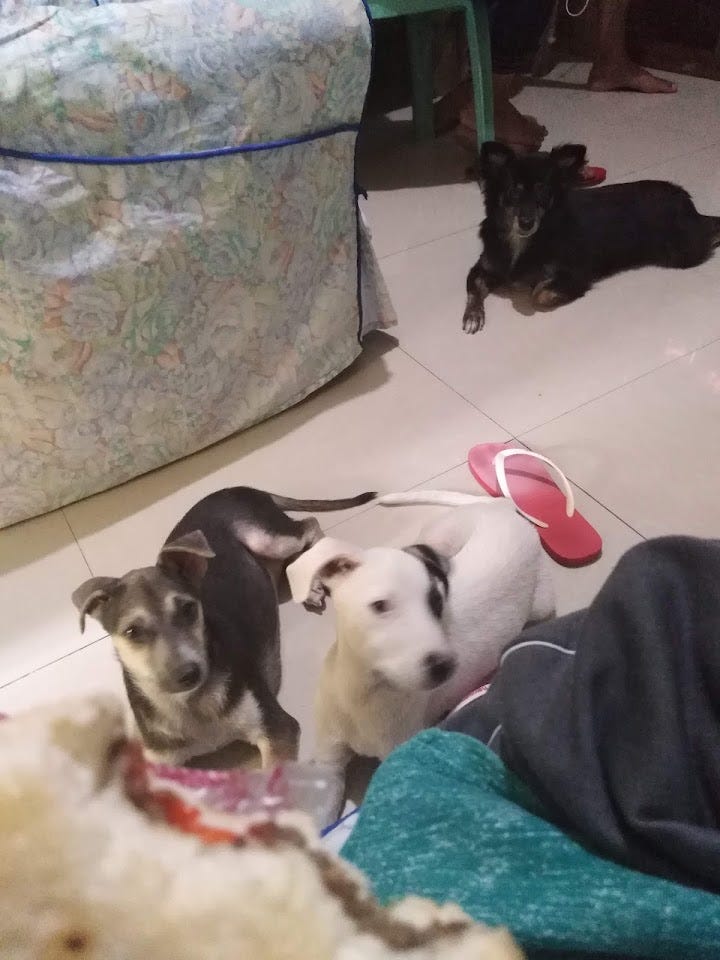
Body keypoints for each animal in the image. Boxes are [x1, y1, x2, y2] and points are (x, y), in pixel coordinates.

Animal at [72, 486, 374, 768]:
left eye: (188, 609)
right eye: (132, 632)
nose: (188, 674)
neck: (192, 704)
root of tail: (238, 489)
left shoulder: (277, 728)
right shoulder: (160, 760)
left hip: (268, 538)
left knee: (309, 525)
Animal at [286, 494, 554, 793]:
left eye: (437, 603)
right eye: (380, 605)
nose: (445, 666)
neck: (364, 692)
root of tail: (502, 507)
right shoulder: (328, 762)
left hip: (540, 606)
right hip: (437, 537)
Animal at [463, 140, 720, 333]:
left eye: (543, 191)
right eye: (513, 191)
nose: (527, 222)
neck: (520, 241)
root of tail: (688, 203)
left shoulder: (576, 275)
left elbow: (539, 294)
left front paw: (527, 289)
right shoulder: (484, 266)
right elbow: (473, 288)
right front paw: (473, 317)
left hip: (681, 252)